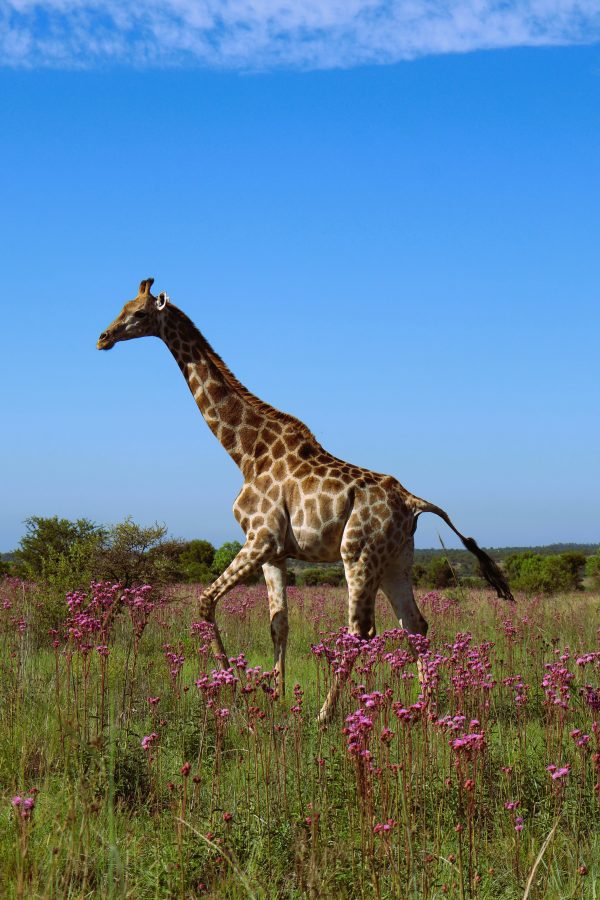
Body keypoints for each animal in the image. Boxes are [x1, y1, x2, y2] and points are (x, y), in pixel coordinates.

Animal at [98, 278, 514, 722]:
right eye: (122, 306)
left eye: (139, 313)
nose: (103, 338)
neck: (246, 452)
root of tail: (413, 502)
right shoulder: (275, 553)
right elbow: (279, 623)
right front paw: (275, 697)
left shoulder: (259, 539)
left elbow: (205, 601)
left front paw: (232, 685)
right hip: (396, 560)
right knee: (415, 625)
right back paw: (428, 711)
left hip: (358, 553)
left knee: (361, 630)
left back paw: (327, 715)